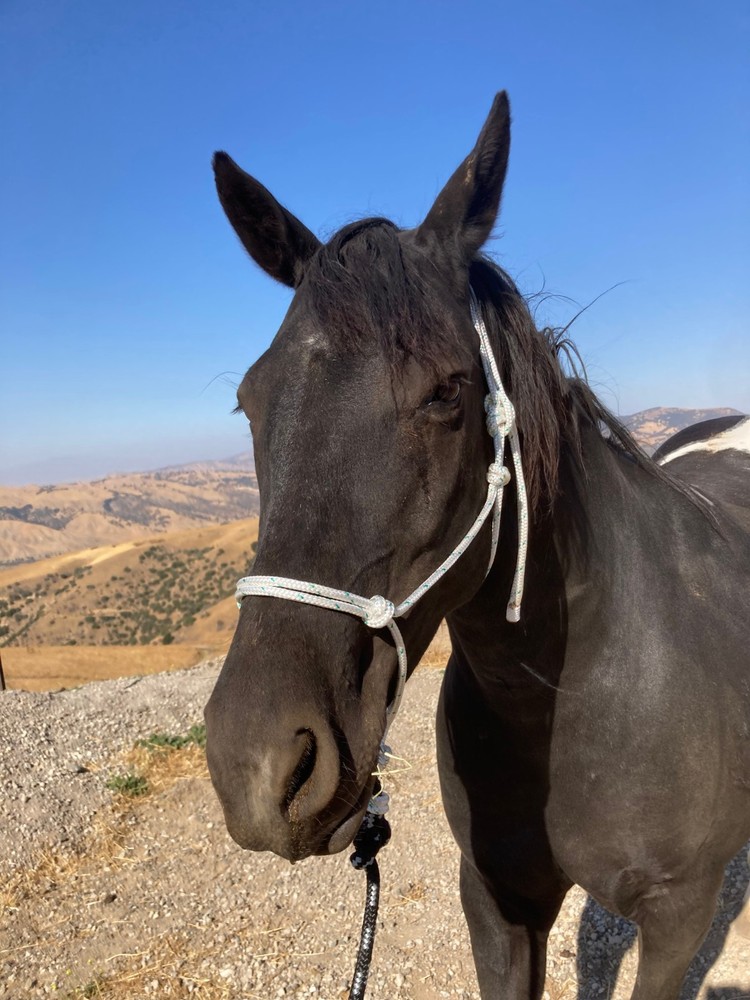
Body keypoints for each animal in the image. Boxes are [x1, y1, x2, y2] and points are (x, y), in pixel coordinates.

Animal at [203, 92, 750, 999]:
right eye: (251, 399)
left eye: (445, 391)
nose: (256, 764)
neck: (574, 696)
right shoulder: (497, 902)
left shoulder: (677, 921)